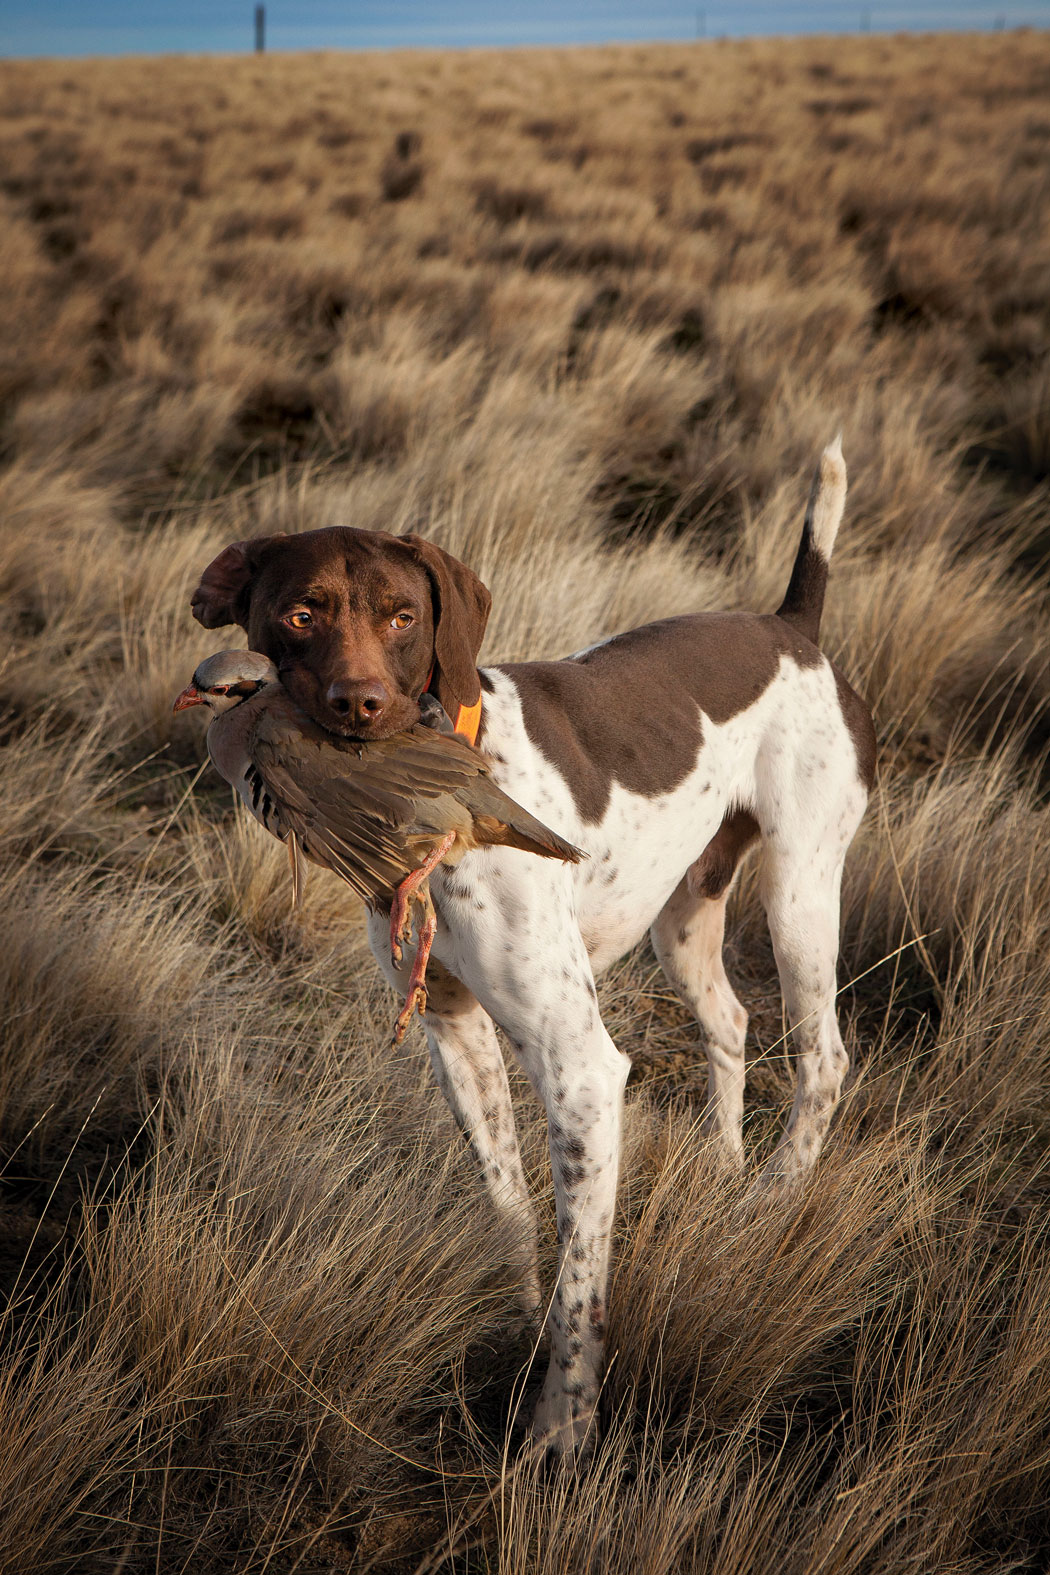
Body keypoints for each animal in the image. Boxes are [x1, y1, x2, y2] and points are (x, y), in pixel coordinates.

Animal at [191, 437, 881, 1455]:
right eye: (299, 612)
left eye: (403, 616)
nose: (360, 708)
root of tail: (793, 625)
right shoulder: (455, 1033)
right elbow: (506, 1206)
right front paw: (510, 1320)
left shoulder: (580, 1067)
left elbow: (582, 1282)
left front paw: (563, 1426)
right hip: (684, 914)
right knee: (728, 1018)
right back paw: (725, 1170)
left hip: (800, 891)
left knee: (823, 1055)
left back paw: (773, 1200)